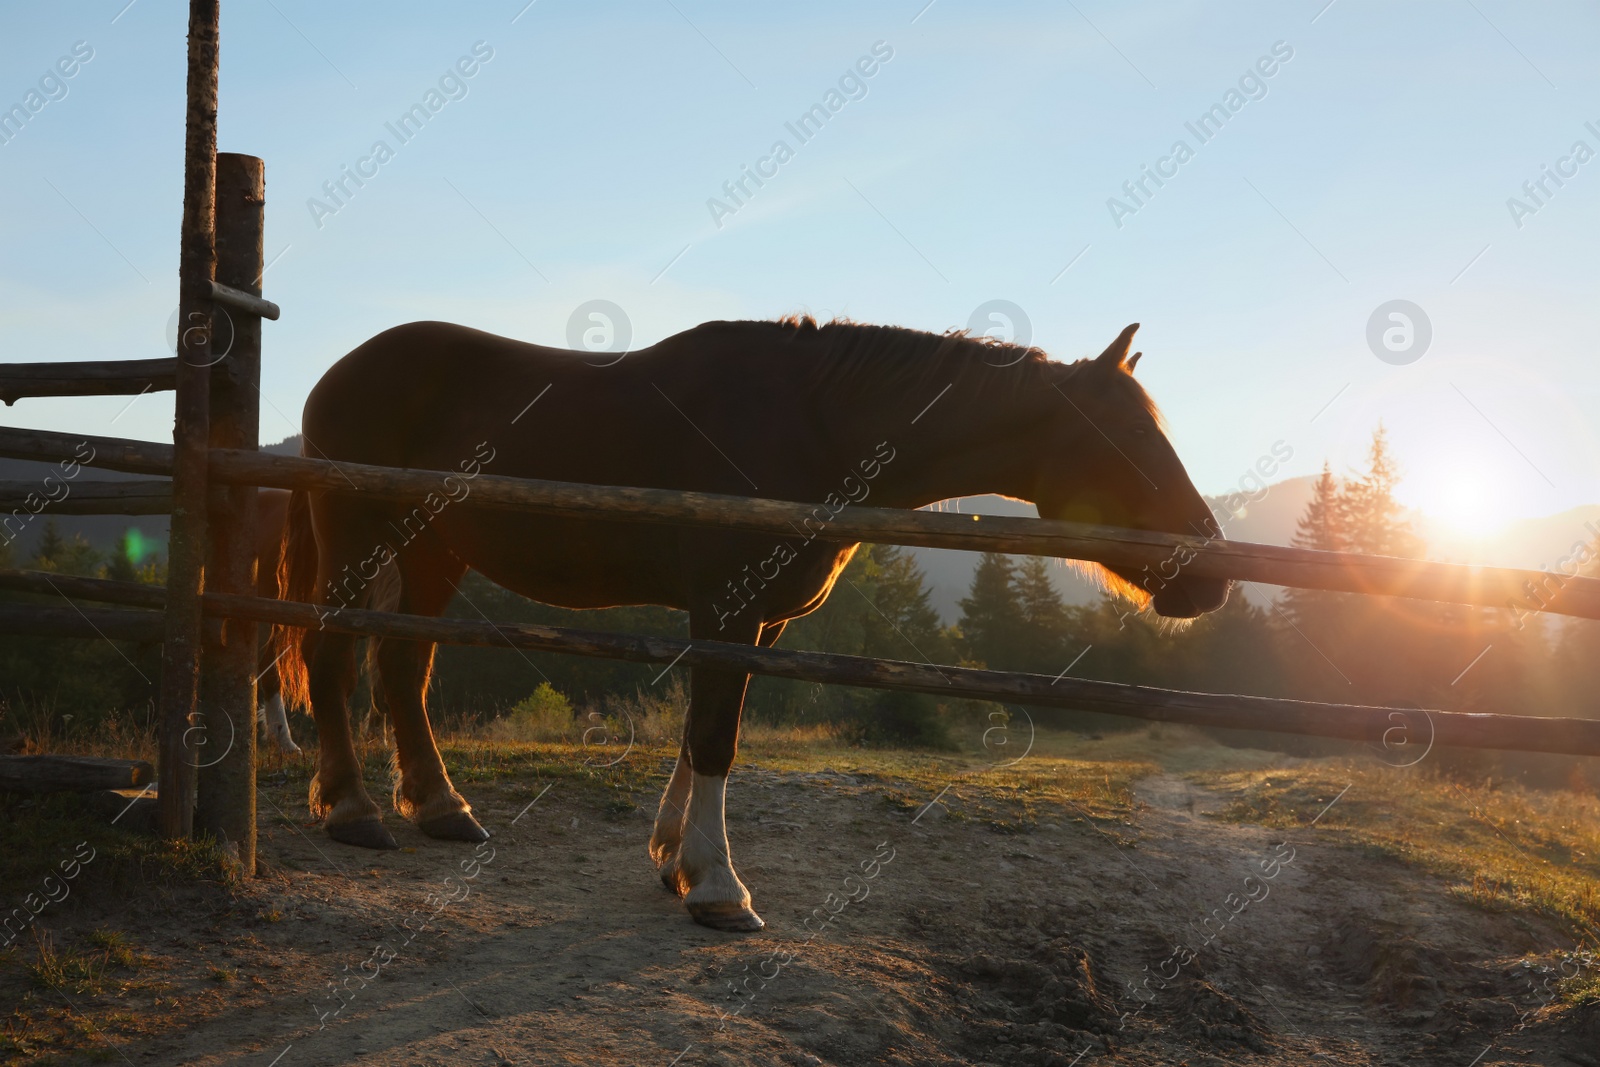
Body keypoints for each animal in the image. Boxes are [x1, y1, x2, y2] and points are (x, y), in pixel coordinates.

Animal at [275, 315, 1222, 927]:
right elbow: (715, 738)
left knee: (402, 669)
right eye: (1130, 442)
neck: (813, 424)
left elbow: (701, 731)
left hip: (433, 553)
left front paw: (676, 858)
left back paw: (440, 807)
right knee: (331, 656)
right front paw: (720, 888)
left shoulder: (755, 622)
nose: (1210, 572)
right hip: (358, 537)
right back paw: (353, 810)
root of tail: (336, 374)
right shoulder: (727, 603)